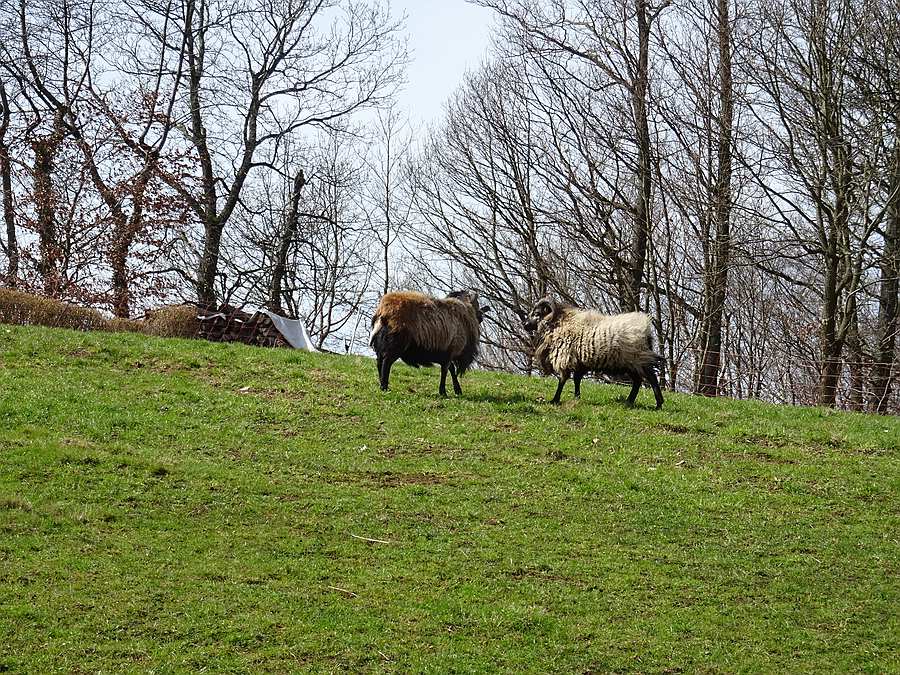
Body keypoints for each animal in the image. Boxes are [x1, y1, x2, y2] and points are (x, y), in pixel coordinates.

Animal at [521, 297, 665, 409]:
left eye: (537, 313)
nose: (524, 324)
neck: (558, 323)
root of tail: (646, 327)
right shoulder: (580, 362)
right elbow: (576, 379)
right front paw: (577, 397)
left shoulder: (565, 357)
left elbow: (563, 380)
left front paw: (555, 400)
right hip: (630, 363)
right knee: (638, 381)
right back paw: (629, 402)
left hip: (638, 359)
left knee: (651, 378)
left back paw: (658, 404)